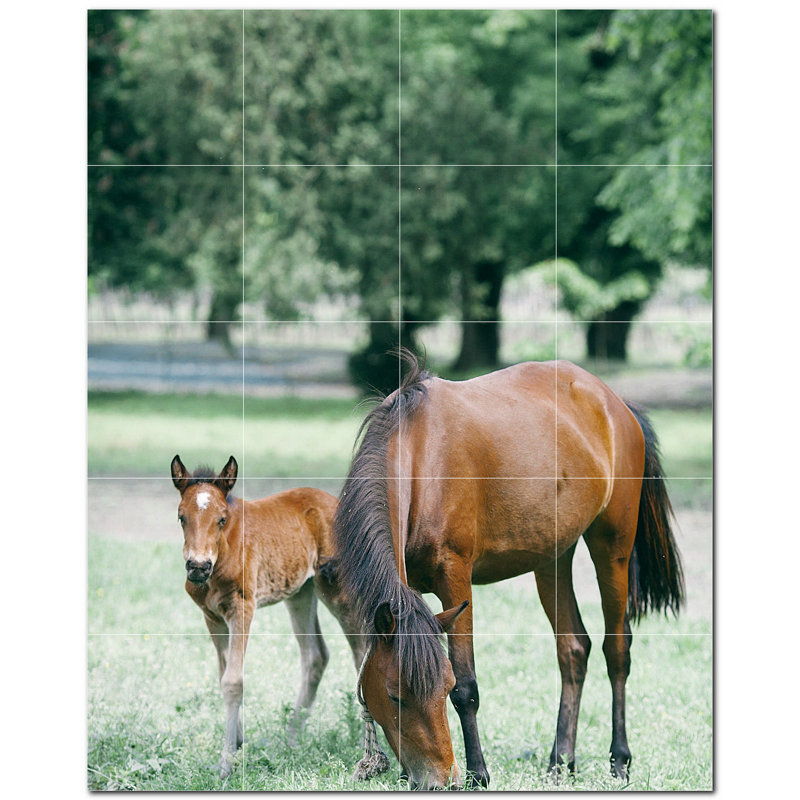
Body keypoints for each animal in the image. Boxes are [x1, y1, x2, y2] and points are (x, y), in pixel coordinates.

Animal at [170, 455, 389, 780]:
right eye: (181, 517)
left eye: (221, 519)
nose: (197, 566)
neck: (224, 552)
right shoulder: (212, 617)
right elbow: (223, 674)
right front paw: (237, 742)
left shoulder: (242, 609)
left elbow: (233, 681)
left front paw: (226, 763)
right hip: (301, 593)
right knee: (315, 656)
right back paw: (291, 738)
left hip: (337, 592)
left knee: (361, 652)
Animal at [332, 352, 684, 790]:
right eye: (395, 695)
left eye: (443, 687)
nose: (437, 779)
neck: (419, 458)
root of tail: (615, 403)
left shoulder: (455, 577)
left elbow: (467, 686)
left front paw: (478, 773)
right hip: (553, 559)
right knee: (573, 649)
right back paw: (560, 762)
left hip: (612, 548)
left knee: (616, 651)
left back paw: (619, 761)